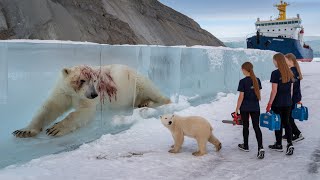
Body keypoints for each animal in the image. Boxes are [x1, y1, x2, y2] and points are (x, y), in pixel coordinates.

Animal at [13, 63, 170, 138]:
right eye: (82, 80)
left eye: (94, 80)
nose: (94, 94)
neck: (75, 93)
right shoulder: (64, 91)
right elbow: (50, 107)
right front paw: (24, 131)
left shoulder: (88, 98)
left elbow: (83, 112)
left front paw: (55, 128)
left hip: (136, 81)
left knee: (155, 93)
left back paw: (149, 103)